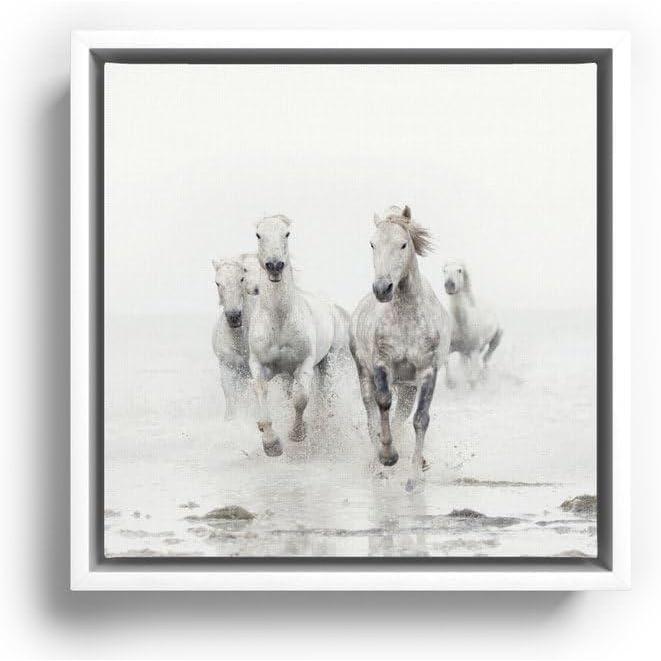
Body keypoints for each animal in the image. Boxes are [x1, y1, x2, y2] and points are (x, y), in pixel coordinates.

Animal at [248, 214, 351, 457]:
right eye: (258, 234)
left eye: (286, 234)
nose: (275, 265)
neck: (279, 320)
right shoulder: (259, 364)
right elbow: (261, 390)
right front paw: (271, 443)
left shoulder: (304, 365)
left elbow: (301, 399)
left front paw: (297, 434)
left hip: (328, 361)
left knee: (323, 394)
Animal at [350, 205, 451, 491]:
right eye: (372, 244)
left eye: (403, 244)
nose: (382, 288)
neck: (406, 315)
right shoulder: (382, 364)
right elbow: (383, 402)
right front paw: (387, 457)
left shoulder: (427, 370)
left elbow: (420, 419)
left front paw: (414, 477)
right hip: (363, 372)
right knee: (371, 411)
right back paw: (377, 464)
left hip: (407, 387)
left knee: (401, 416)